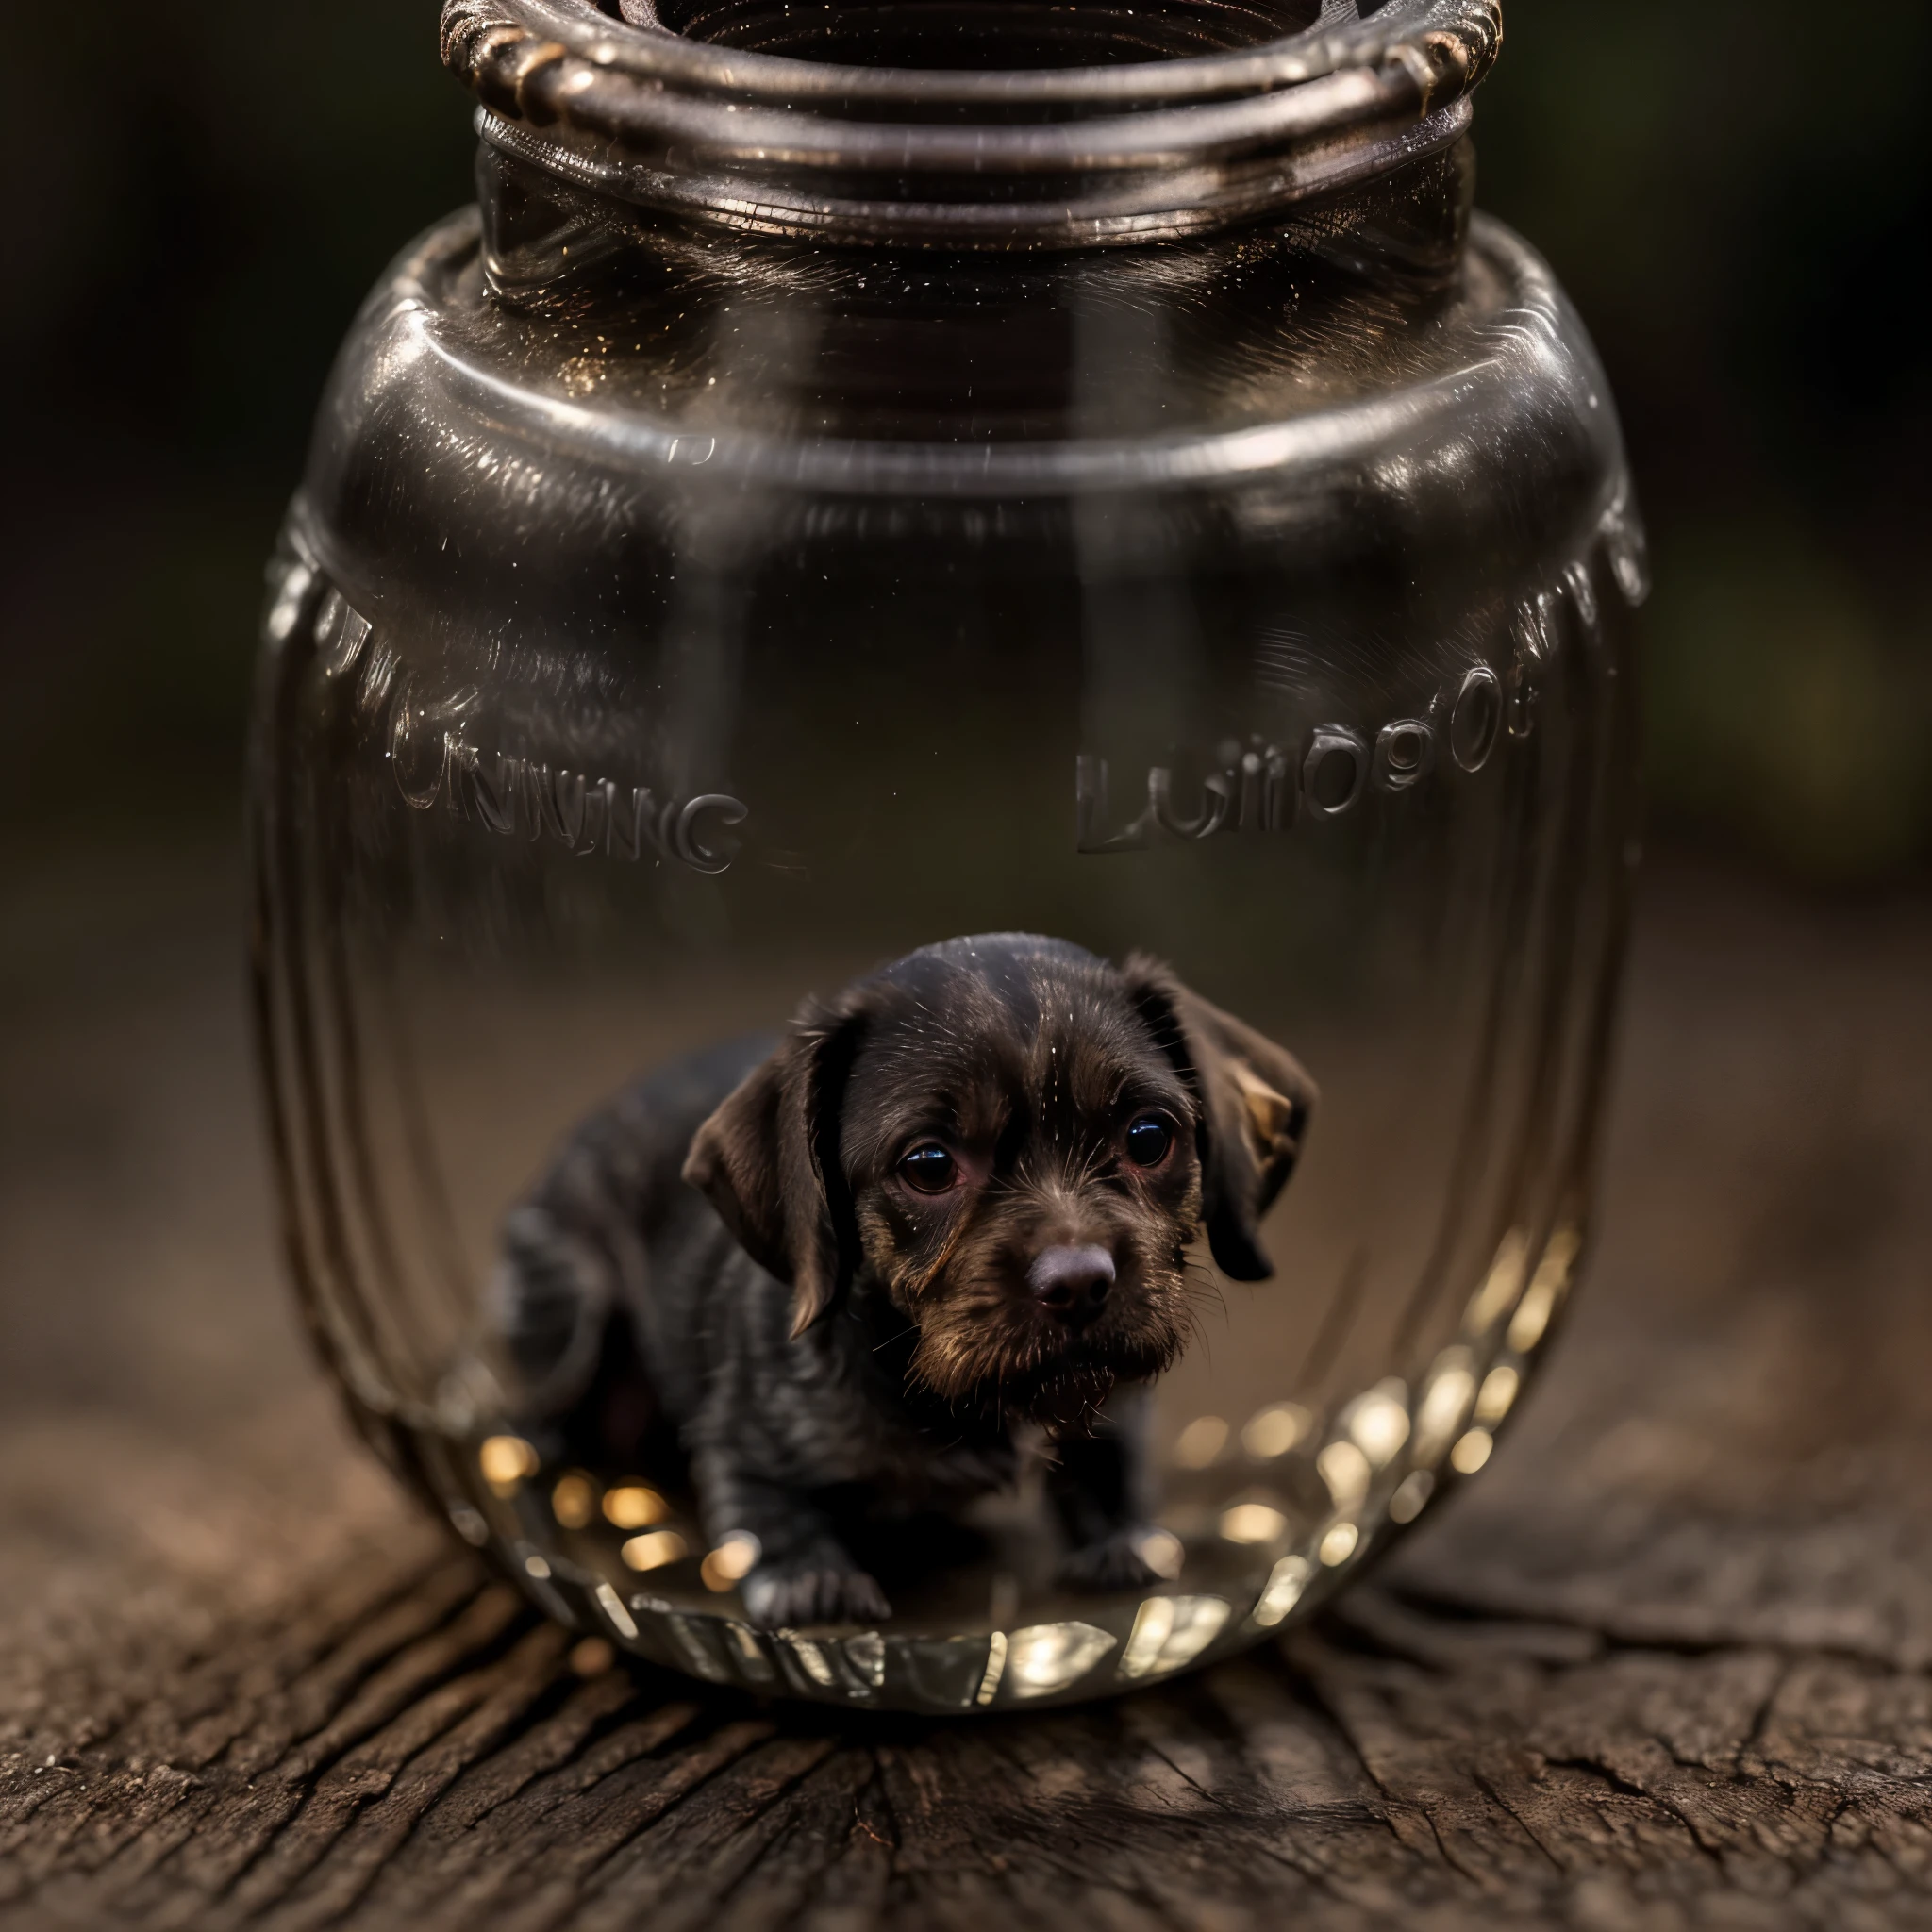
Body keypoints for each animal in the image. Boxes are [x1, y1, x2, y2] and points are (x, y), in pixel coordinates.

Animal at [491, 935, 1321, 1630]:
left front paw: (1125, 1536)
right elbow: (768, 1505)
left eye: (1149, 1137)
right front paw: (812, 1580)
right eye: (929, 1164)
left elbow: (1114, 1455)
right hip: (569, 1308)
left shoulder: (1114, 1391)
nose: (1081, 1283)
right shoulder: (740, 1432)